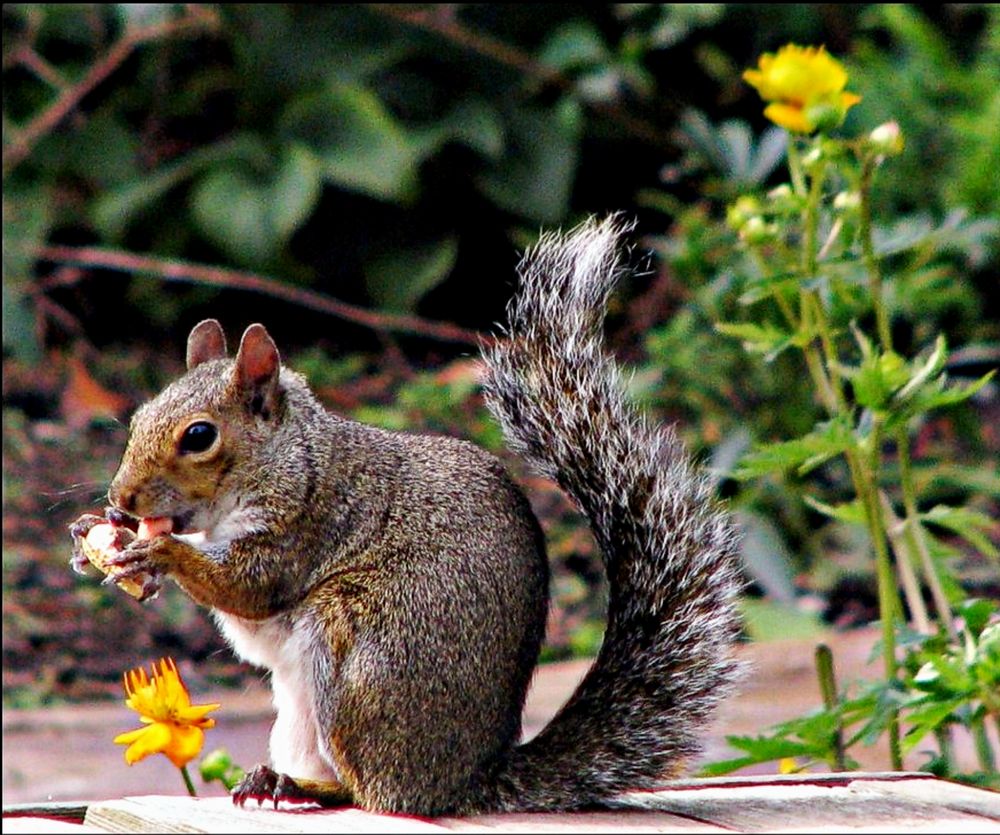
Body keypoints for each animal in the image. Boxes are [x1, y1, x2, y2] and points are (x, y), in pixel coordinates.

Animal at [70, 216, 744, 816]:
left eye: (200, 436)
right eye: (138, 417)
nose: (124, 500)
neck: (289, 458)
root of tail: (465, 779)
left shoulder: (308, 522)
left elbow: (248, 589)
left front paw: (159, 552)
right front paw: (92, 537)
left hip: (358, 653)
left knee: (376, 793)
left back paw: (301, 786)